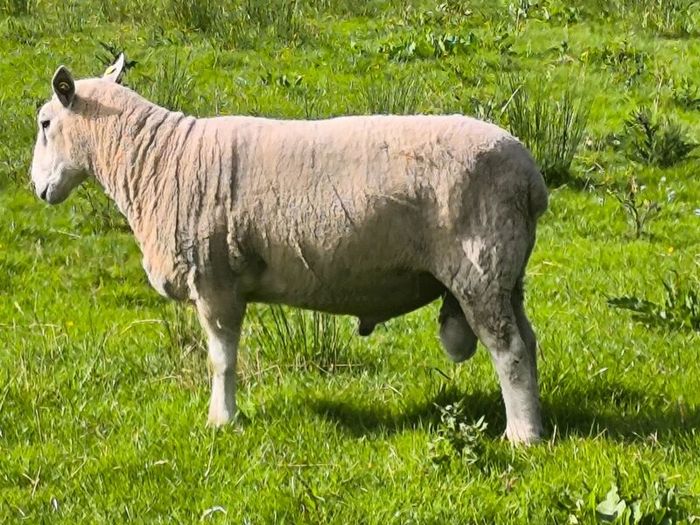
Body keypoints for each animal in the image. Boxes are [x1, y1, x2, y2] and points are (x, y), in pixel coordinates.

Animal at [30, 55, 548, 444]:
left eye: (45, 123)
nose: (37, 189)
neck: (154, 159)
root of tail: (530, 176)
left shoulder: (215, 280)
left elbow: (221, 360)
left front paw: (221, 420)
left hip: (481, 266)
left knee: (509, 350)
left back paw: (522, 437)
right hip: (507, 271)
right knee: (528, 342)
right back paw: (537, 423)